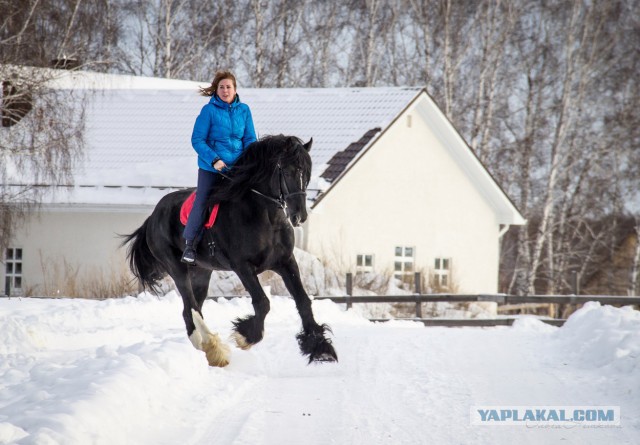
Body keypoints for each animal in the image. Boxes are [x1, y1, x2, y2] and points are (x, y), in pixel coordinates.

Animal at [122, 134, 338, 366]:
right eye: (287, 171)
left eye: (306, 173)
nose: (299, 216)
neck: (267, 217)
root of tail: (153, 216)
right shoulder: (242, 267)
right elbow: (262, 302)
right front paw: (245, 335)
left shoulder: (285, 262)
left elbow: (303, 301)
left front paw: (320, 348)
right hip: (176, 268)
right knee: (191, 306)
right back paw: (213, 346)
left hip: (202, 272)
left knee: (191, 309)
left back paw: (206, 349)